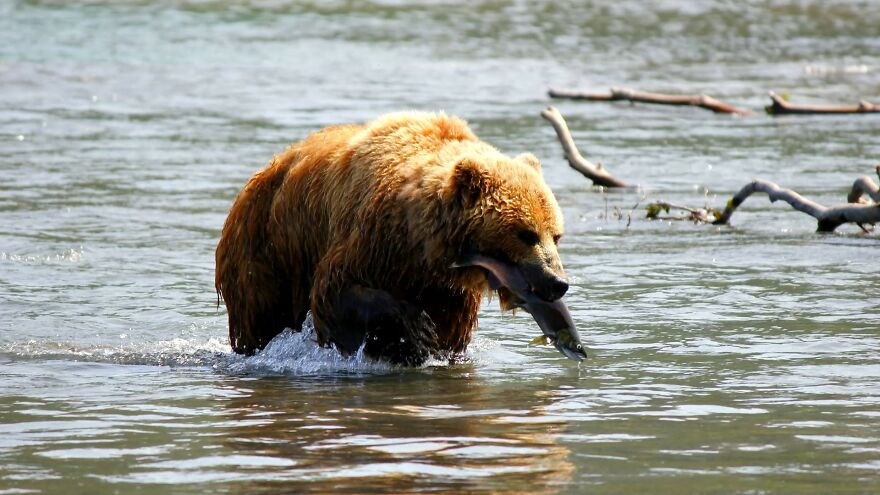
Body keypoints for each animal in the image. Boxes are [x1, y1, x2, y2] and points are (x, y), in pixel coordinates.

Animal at [215, 112, 585, 365]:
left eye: (556, 235)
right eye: (526, 234)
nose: (557, 282)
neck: (423, 247)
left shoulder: (447, 290)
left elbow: (450, 335)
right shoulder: (370, 239)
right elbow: (336, 292)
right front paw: (415, 329)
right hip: (267, 252)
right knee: (262, 318)